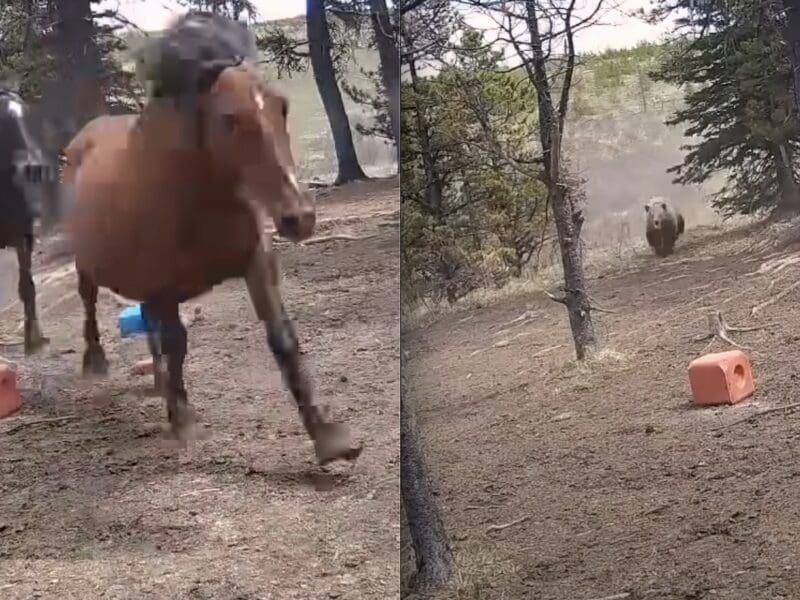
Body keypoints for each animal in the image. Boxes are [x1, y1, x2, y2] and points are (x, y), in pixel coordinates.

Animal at [62, 55, 362, 467]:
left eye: (281, 107)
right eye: (228, 119)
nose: (298, 217)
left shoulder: (255, 266)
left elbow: (283, 340)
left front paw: (328, 438)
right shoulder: (163, 289)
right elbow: (177, 344)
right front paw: (184, 423)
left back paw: (159, 385)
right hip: (88, 265)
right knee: (90, 303)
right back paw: (96, 363)